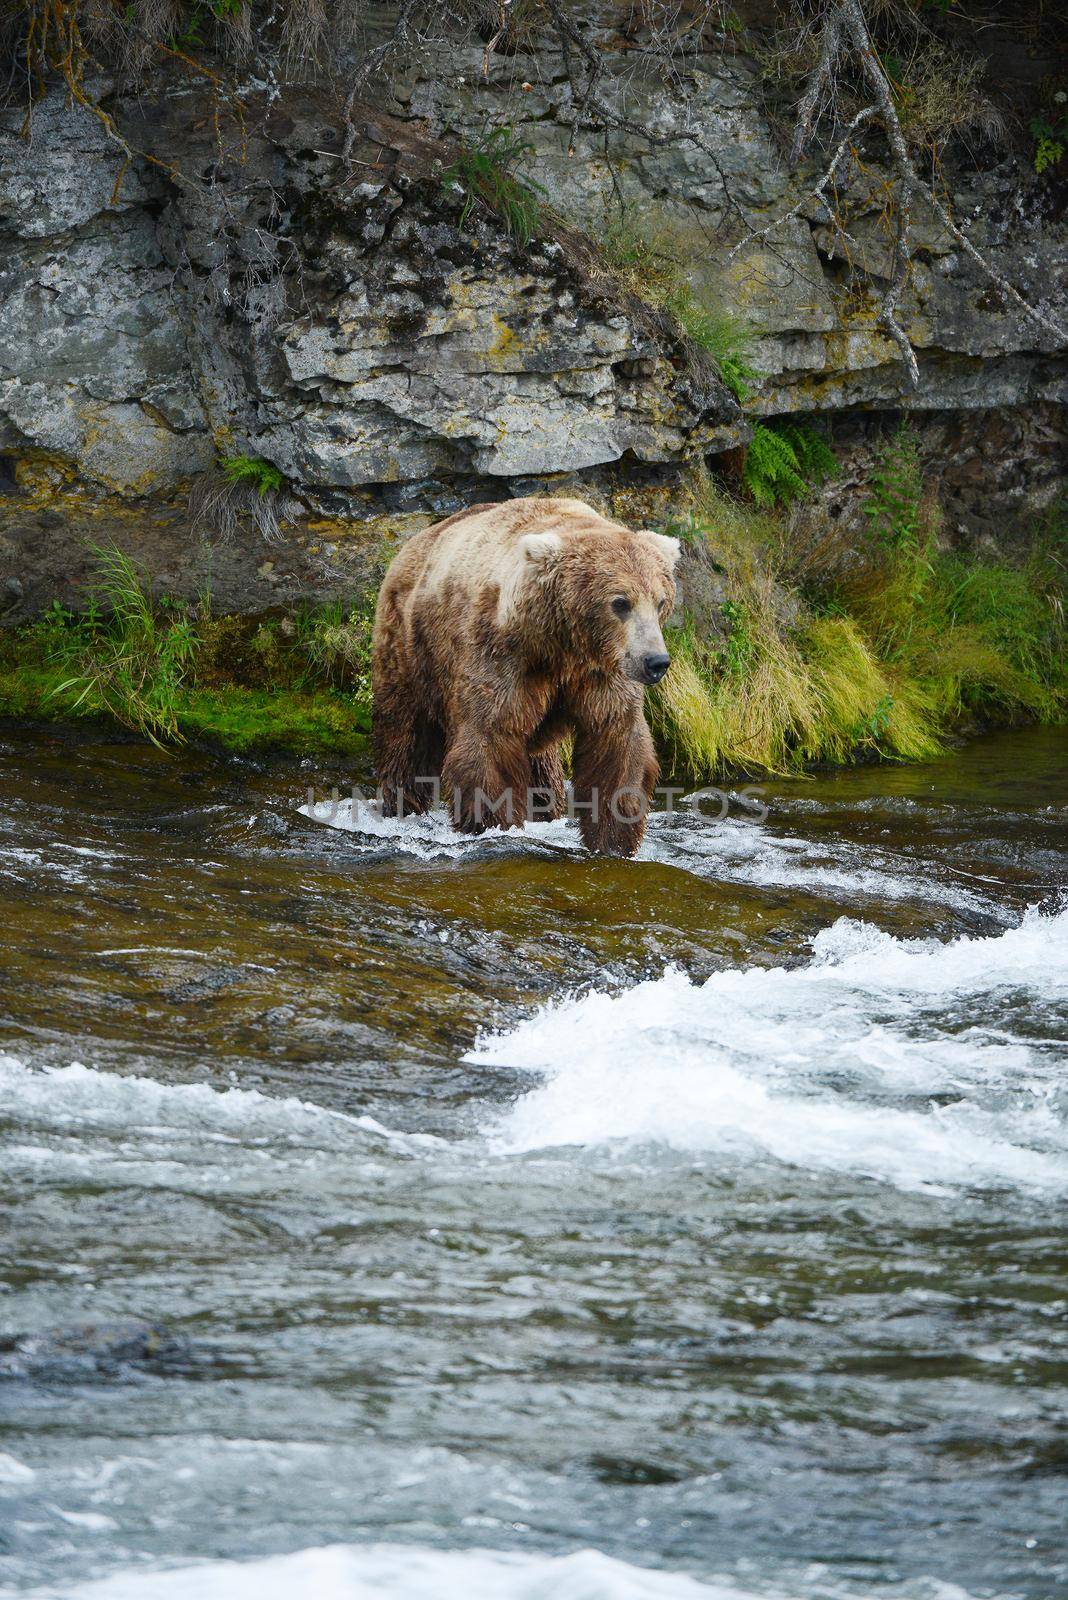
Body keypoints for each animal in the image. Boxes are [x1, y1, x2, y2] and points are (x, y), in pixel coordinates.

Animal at [370, 492, 681, 857]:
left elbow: (615, 740)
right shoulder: (501, 653)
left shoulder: (601, 673)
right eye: (620, 602)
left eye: (660, 601)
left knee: (542, 766)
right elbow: (491, 739)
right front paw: (493, 824)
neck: (561, 643)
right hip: (412, 650)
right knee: (406, 735)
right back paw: (401, 805)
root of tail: (411, 544)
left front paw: (614, 839)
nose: (655, 661)